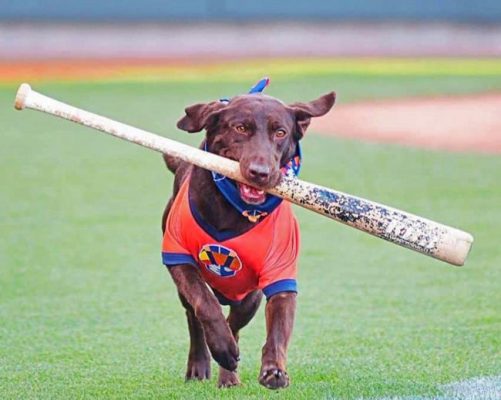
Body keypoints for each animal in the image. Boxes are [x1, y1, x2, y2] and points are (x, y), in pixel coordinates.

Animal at [162, 90, 334, 388]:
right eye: (240, 128)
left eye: (280, 132)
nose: (260, 172)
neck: (234, 210)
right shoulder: (178, 258)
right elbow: (204, 304)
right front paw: (221, 347)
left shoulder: (278, 273)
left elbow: (278, 327)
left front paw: (274, 370)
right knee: (194, 316)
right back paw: (202, 364)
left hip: (248, 297)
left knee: (235, 322)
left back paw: (228, 374)